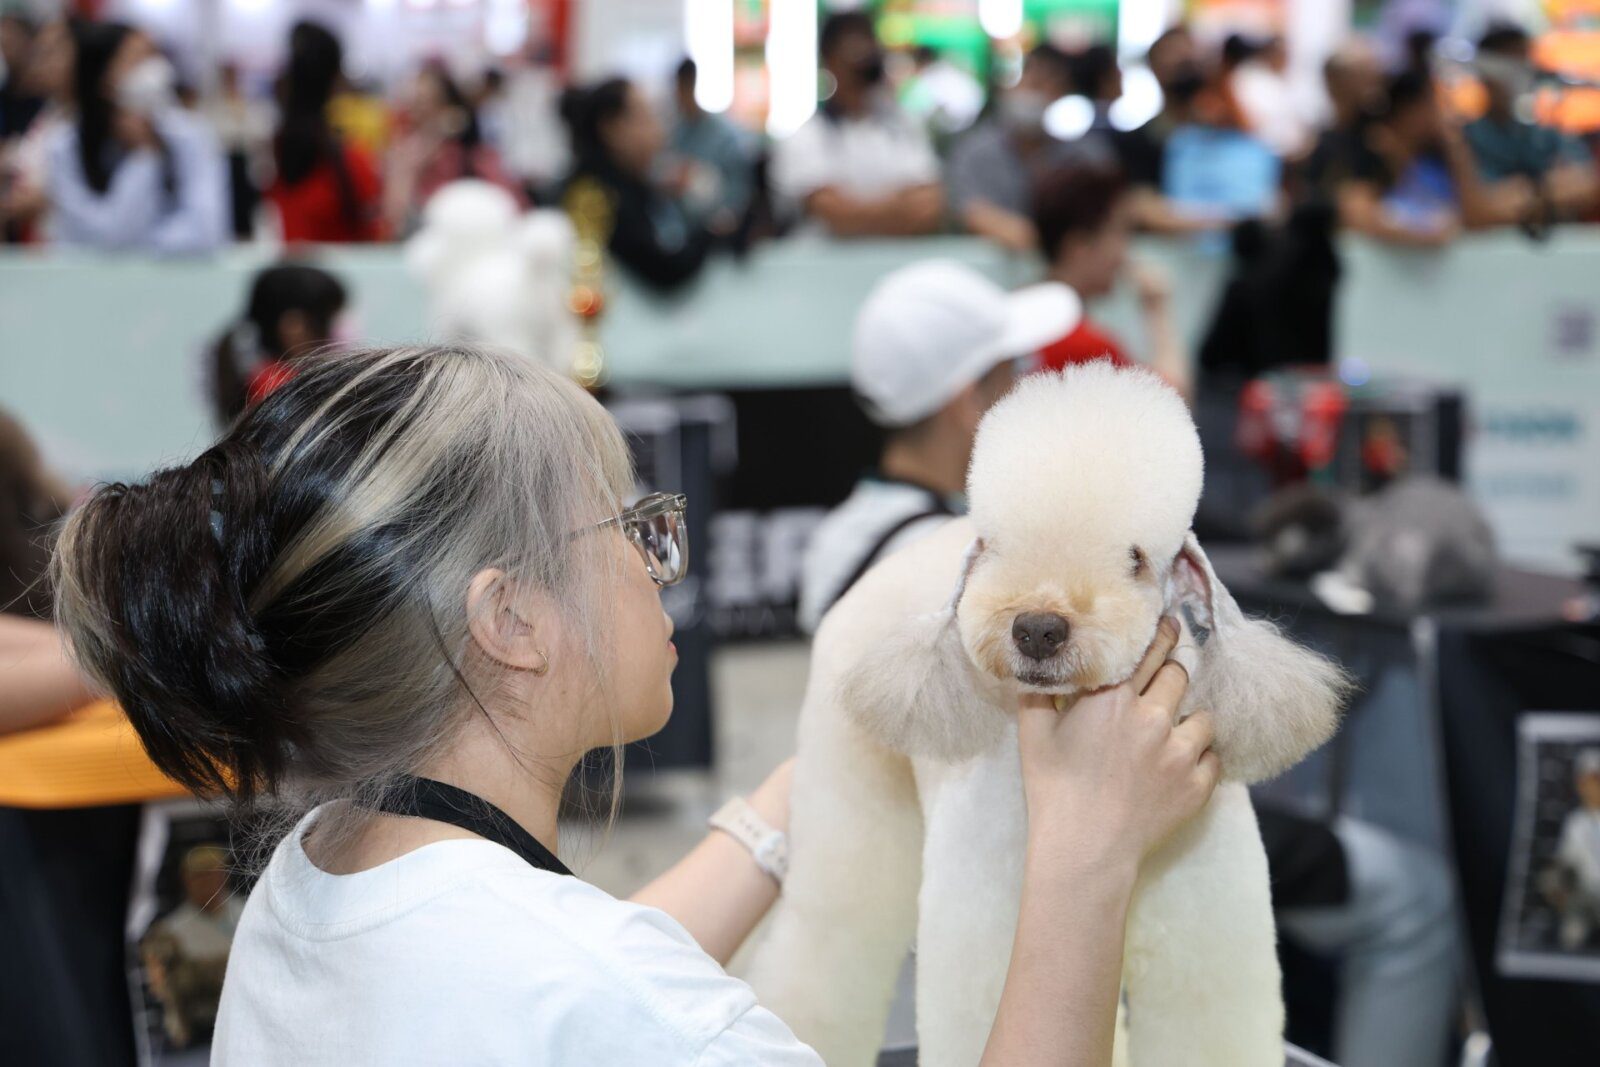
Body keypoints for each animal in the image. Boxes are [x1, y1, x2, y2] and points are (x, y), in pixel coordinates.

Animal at [747, 363, 1348, 1067]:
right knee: (824, 944)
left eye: (1135, 558)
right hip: (848, 809)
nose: (1037, 629)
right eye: (993, 548)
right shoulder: (995, 948)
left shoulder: (1206, 950)